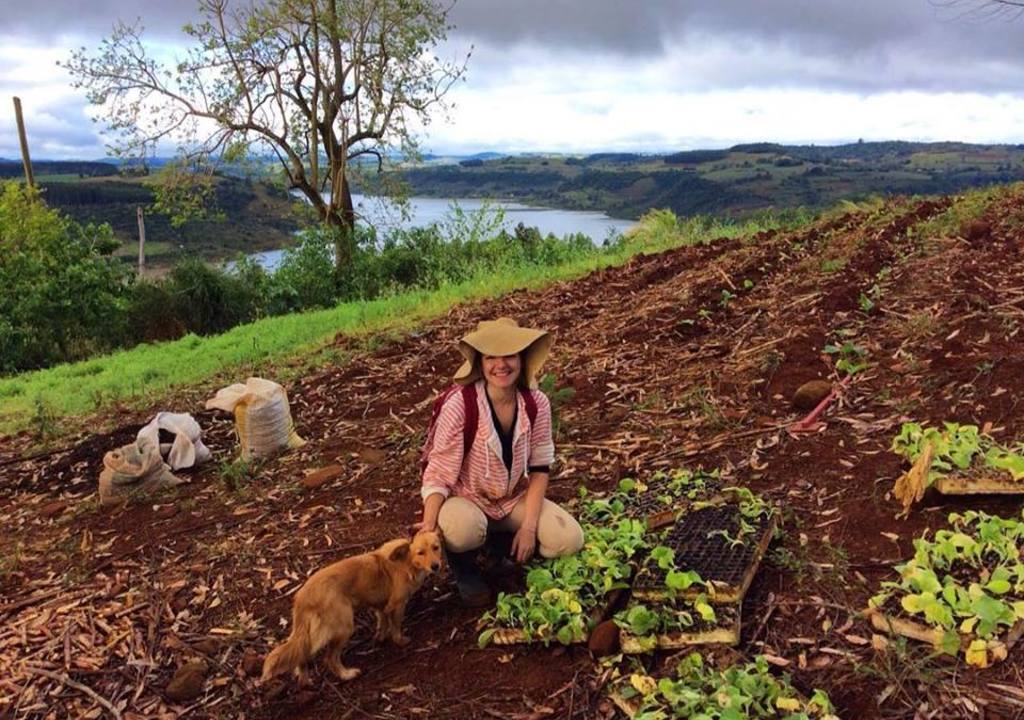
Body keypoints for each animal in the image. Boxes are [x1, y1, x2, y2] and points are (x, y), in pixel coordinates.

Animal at [260, 532, 444, 684]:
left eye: (436, 547)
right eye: (420, 552)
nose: (436, 566)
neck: (405, 563)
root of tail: (303, 596)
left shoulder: (381, 606)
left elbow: (383, 623)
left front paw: (380, 637)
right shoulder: (398, 605)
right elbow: (396, 627)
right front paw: (400, 641)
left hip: (310, 634)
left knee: (303, 654)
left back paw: (305, 680)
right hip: (345, 627)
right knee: (329, 658)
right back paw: (346, 675)